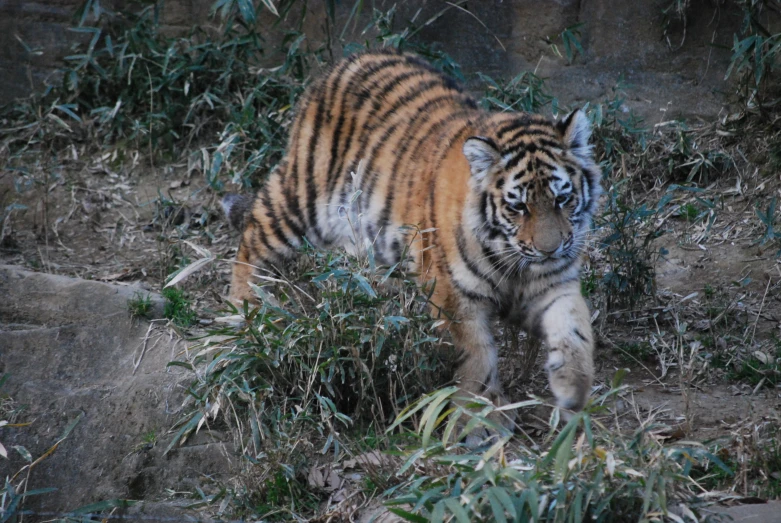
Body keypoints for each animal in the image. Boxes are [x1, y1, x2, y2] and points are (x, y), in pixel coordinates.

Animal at [222, 49, 600, 426]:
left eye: (562, 199)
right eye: (518, 206)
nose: (550, 249)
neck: (513, 257)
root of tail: (347, 61)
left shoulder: (552, 284)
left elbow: (574, 327)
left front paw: (574, 389)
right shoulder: (454, 298)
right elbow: (476, 359)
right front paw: (480, 423)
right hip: (301, 199)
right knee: (254, 236)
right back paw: (247, 313)